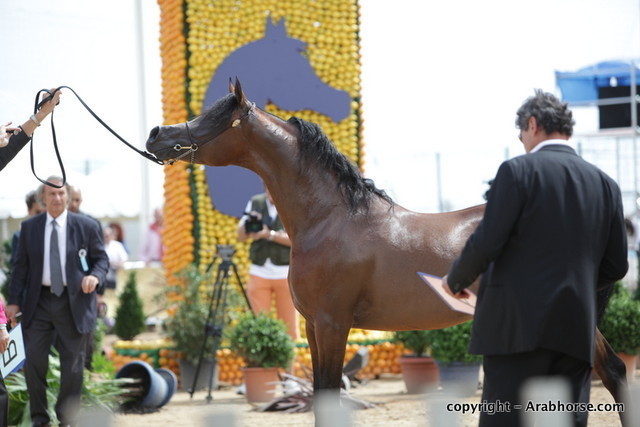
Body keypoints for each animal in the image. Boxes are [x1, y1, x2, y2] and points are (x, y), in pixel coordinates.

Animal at [146, 80, 628, 422]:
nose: (155, 135)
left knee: (611, 372)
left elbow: (329, 395)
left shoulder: (333, 323)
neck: (331, 219)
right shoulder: (312, 326)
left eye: (213, 117)